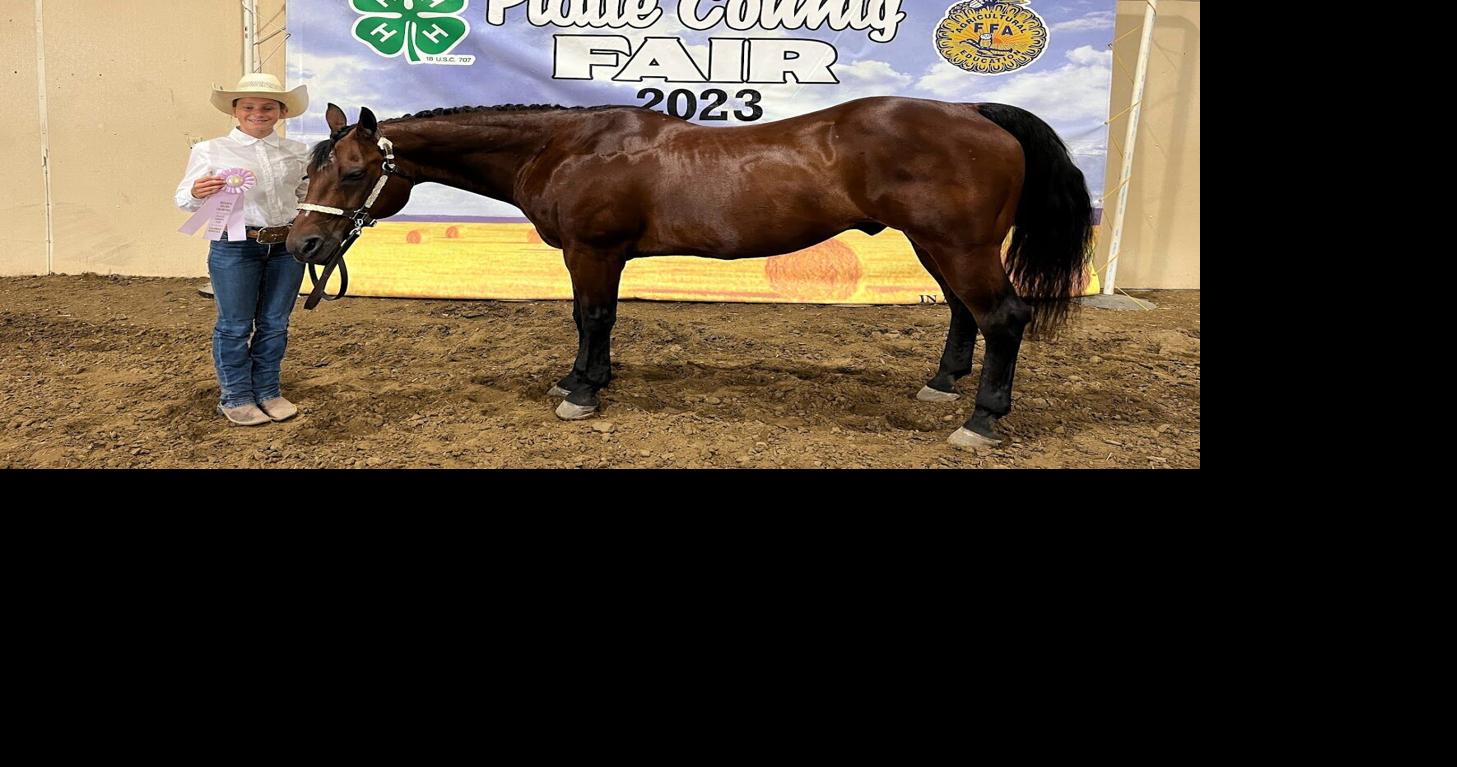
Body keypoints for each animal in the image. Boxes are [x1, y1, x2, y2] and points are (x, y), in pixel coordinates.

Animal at [287, 97, 1094, 450]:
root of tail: (974, 111)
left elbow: (593, 316)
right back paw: (941, 385)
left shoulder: (594, 250)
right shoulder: (596, 255)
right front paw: (584, 379)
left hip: (957, 244)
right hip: (939, 244)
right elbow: (592, 321)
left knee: (1003, 318)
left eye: (352, 172)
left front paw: (582, 392)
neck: (569, 145)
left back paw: (981, 421)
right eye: (308, 168)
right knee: (963, 313)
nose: (300, 245)